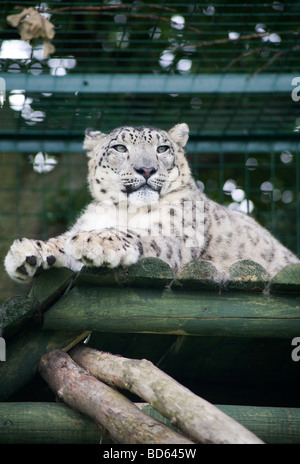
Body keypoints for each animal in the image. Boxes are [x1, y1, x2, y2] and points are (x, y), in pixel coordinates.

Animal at [3, 123, 298, 282]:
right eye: (120, 148)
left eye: (162, 148)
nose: (146, 169)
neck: (125, 210)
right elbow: (61, 241)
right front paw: (28, 252)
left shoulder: (176, 237)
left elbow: (138, 234)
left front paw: (93, 241)